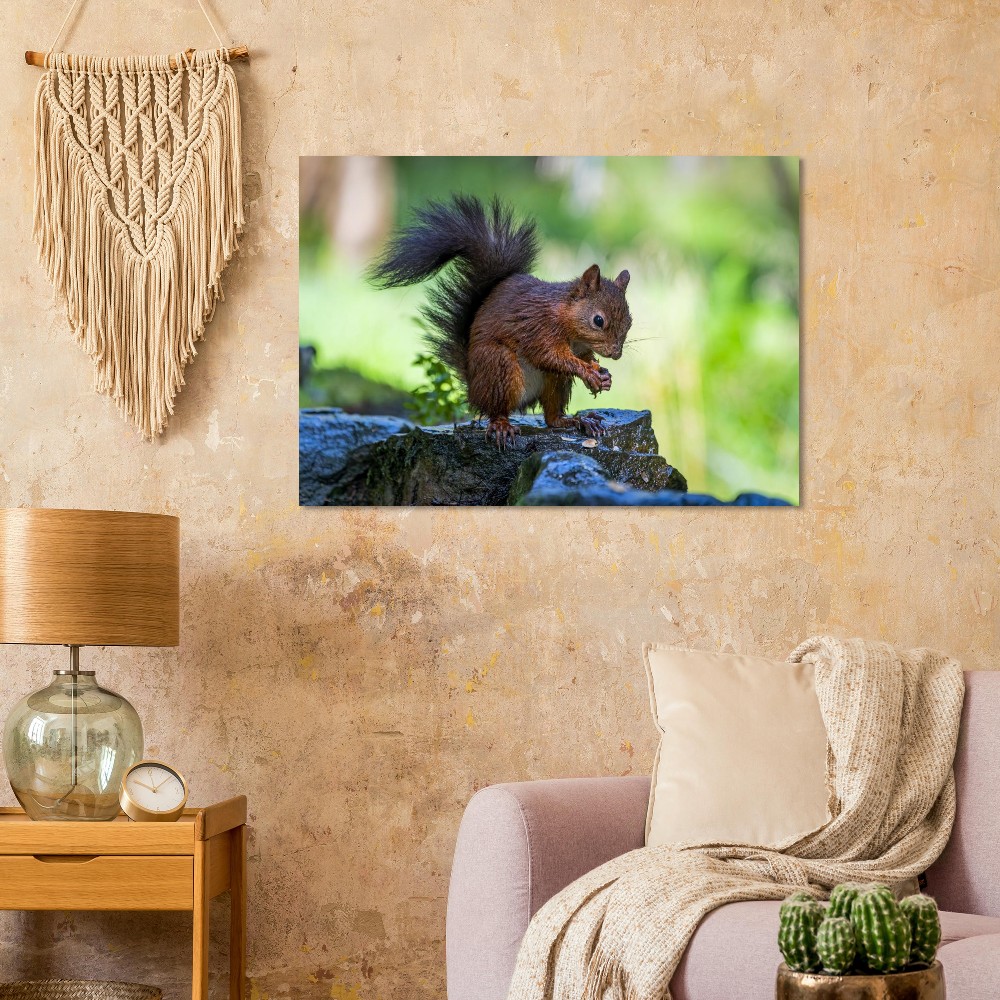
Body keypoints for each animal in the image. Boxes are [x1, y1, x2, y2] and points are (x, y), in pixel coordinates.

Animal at [368, 195, 632, 447]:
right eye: (598, 320)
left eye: (630, 321)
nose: (616, 354)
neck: (568, 322)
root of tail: (473, 386)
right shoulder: (539, 328)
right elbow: (550, 356)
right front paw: (588, 372)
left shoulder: (579, 347)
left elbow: (583, 357)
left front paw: (602, 374)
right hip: (499, 367)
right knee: (496, 410)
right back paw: (502, 425)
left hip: (554, 382)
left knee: (551, 417)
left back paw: (577, 421)